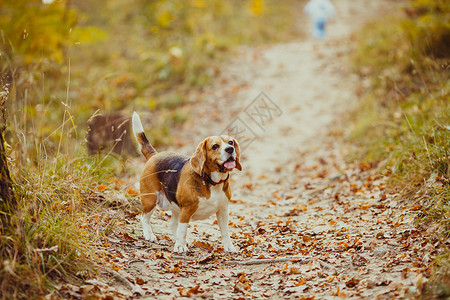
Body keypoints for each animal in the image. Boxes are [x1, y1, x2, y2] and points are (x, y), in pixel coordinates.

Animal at [131, 112, 241, 253]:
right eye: (215, 146)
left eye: (230, 142)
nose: (230, 149)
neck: (212, 182)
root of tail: (155, 155)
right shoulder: (187, 210)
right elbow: (183, 230)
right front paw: (180, 246)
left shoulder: (223, 210)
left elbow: (225, 231)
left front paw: (229, 247)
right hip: (150, 199)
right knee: (144, 217)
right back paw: (149, 234)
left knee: (173, 224)